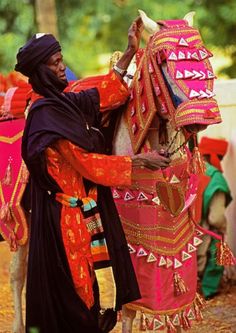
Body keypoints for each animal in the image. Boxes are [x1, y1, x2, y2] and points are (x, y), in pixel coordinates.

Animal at [0, 9, 222, 332]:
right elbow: (129, 307)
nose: (204, 116)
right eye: (165, 60)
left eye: (205, 56)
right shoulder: (131, 241)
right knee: (18, 275)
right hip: (20, 223)